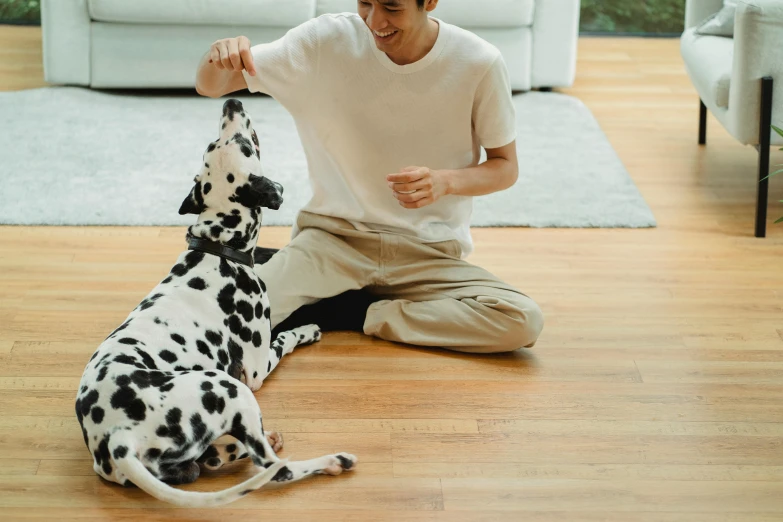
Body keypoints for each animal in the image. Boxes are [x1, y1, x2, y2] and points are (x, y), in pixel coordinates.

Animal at [75, 97, 356, 504]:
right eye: (244, 146)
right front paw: (306, 330)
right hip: (233, 389)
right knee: (273, 468)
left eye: (212, 145)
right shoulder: (255, 369)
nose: (232, 102)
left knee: (215, 460)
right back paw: (333, 460)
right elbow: (283, 339)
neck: (217, 248)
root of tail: (117, 440)